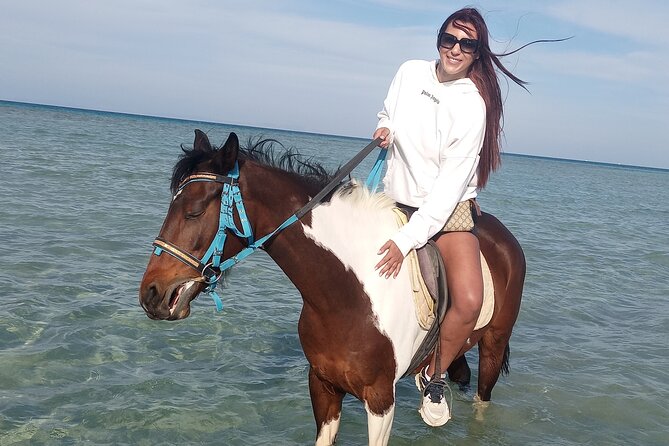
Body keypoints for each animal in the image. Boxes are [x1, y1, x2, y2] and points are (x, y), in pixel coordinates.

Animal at [139, 130, 525, 445]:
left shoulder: (381, 400)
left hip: (494, 345)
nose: (151, 294)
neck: (346, 294)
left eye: (194, 211)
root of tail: (504, 237)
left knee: (482, 401)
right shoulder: (323, 386)